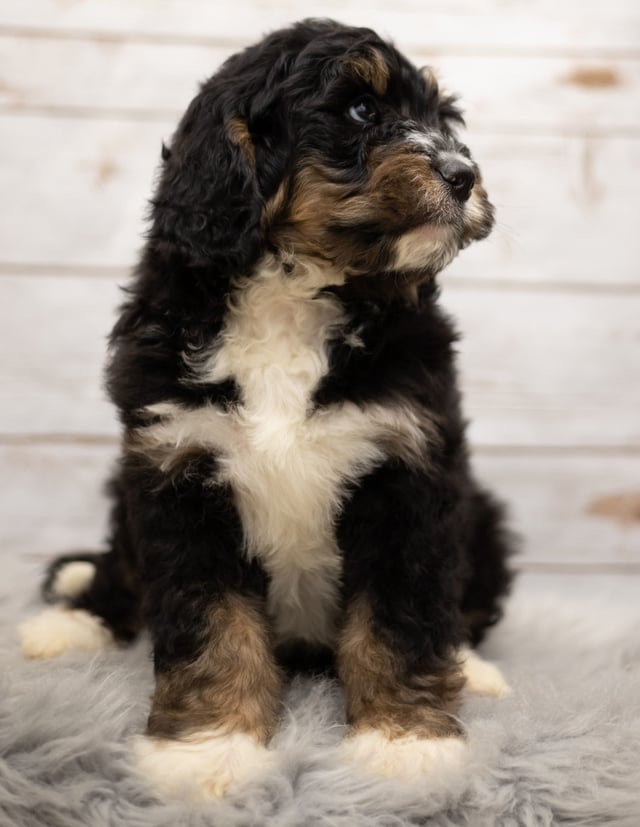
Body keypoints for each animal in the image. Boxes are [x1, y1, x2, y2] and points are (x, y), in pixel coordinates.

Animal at [20, 17, 516, 796]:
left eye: (443, 119)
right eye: (361, 110)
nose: (463, 175)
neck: (293, 295)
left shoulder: (408, 470)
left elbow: (400, 615)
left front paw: (404, 743)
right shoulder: (178, 470)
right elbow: (213, 622)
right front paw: (208, 747)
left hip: (481, 512)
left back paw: (476, 667)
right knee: (119, 570)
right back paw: (69, 621)